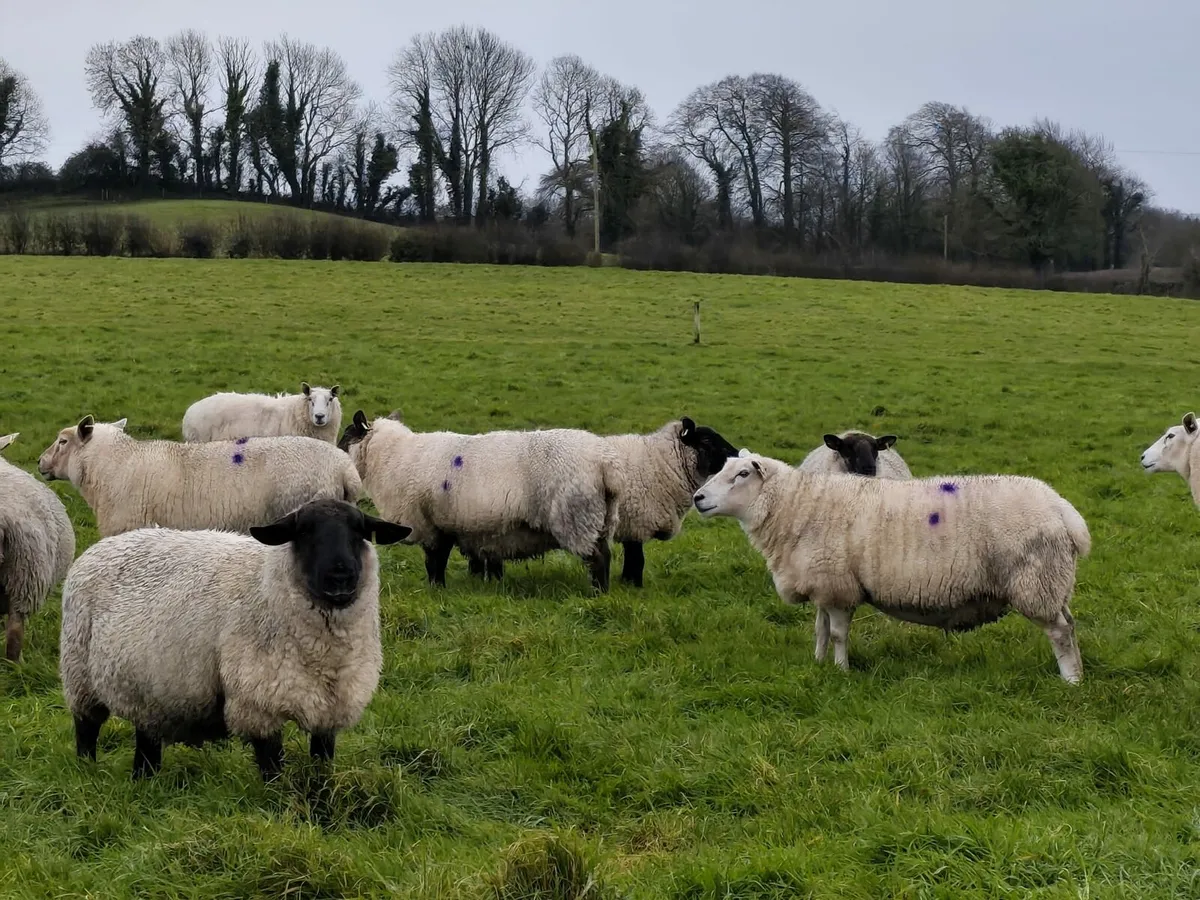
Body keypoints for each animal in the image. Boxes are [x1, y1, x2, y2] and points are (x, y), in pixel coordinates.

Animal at [60, 498, 411, 780]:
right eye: (303, 532)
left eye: (359, 531)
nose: (340, 577)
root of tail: (107, 543)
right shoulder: (258, 702)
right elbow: (272, 766)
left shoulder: (330, 708)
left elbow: (322, 764)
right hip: (79, 673)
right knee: (86, 728)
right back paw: (86, 770)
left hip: (149, 688)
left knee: (147, 739)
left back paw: (144, 780)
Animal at [338, 410, 625, 591]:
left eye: (345, 437)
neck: (394, 457)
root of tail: (605, 463)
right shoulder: (456, 525)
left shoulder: (431, 524)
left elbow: (434, 562)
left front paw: (436, 589)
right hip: (601, 517)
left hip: (576, 517)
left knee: (599, 558)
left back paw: (598, 593)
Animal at [460, 417, 739, 588]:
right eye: (706, 441)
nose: (737, 455)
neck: (660, 462)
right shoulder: (635, 523)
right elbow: (637, 559)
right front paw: (633, 585)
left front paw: (627, 583)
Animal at [692, 451, 1091, 682]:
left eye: (743, 474)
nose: (697, 498)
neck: (796, 505)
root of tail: (1063, 509)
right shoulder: (823, 583)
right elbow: (820, 630)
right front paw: (818, 665)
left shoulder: (839, 587)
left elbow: (838, 634)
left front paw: (840, 671)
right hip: (1053, 582)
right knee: (1070, 624)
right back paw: (1078, 673)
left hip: (1035, 581)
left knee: (1059, 632)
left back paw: (1071, 681)